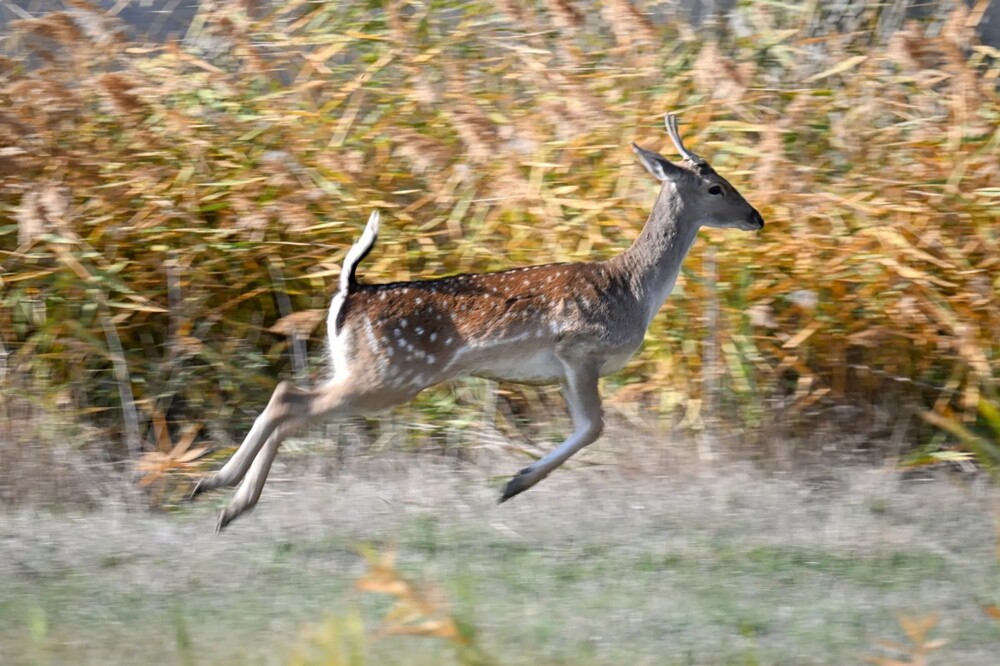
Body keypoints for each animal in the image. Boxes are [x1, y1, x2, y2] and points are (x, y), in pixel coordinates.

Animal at [191, 114, 760, 528]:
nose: (756, 217)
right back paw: (230, 502)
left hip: (357, 366)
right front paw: (514, 483)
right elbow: (595, 427)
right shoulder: (579, 348)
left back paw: (214, 488)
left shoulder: (564, 368)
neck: (633, 289)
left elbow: (586, 427)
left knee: (285, 393)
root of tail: (353, 290)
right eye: (715, 187)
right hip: (393, 373)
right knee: (293, 403)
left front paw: (514, 480)